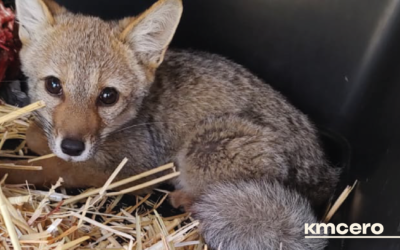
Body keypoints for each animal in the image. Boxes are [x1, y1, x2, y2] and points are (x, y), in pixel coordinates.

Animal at [0, 0, 340, 249]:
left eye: (108, 96)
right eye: (53, 85)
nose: (72, 146)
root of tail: (326, 174)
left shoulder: (132, 168)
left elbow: (52, 168)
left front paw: (11, 170)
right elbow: (36, 137)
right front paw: (38, 140)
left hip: (203, 147)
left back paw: (183, 198)